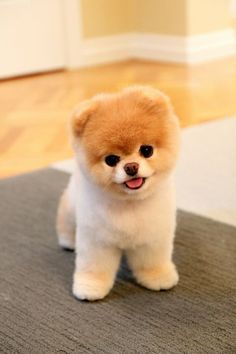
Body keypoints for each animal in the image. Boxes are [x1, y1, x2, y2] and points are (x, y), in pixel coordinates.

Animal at [55, 85, 181, 302]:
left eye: (146, 150)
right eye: (111, 160)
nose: (131, 167)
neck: (129, 203)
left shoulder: (153, 236)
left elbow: (153, 260)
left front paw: (158, 277)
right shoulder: (97, 240)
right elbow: (94, 267)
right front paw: (90, 286)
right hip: (71, 208)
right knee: (66, 222)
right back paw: (67, 241)